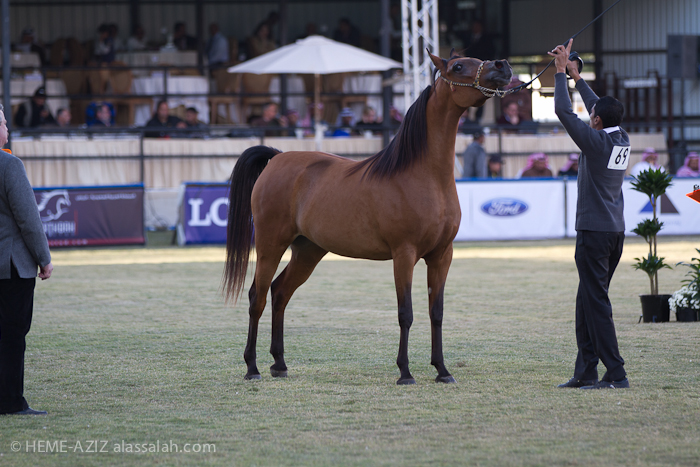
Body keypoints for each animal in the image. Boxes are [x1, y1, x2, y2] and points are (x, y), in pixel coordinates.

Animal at [223, 51, 513, 385]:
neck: (423, 175)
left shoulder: (442, 255)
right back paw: (252, 367)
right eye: (458, 66)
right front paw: (405, 372)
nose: (503, 67)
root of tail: (277, 158)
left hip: (308, 250)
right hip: (271, 244)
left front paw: (442, 370)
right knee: (256, 296)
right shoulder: (404, 254)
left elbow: (436, 313)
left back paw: (279, 364)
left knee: (280, 292)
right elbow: (406, 313)